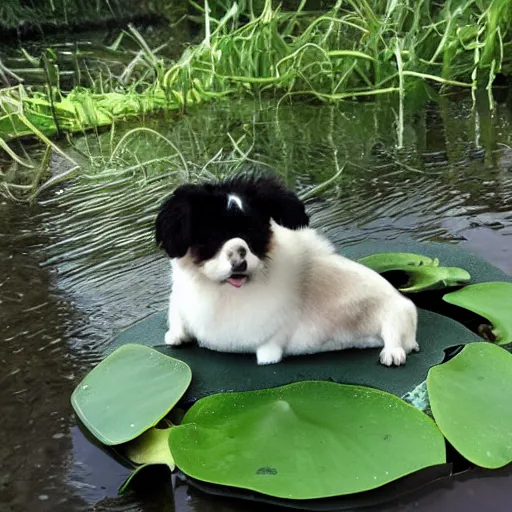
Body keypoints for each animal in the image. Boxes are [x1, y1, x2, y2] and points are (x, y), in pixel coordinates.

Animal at [156, 174, 420, 366]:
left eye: (254, 236)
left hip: (397, 312)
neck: (220, 292)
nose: (239, 256)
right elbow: (177, 317)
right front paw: (176, 335)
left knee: (394, 334)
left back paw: (393, 352)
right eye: (212, 238)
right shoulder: (180, 299)